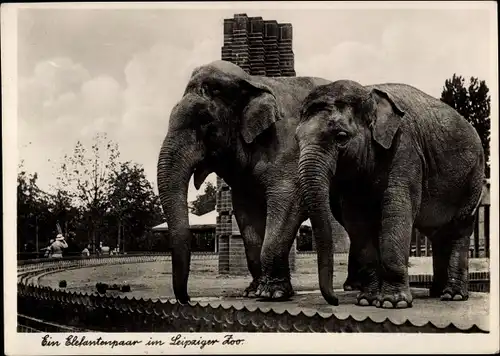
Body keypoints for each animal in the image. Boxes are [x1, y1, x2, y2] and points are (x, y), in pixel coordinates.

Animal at [158, 60, 346, 304]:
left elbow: (288, 201)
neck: (253, 81)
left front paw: (272, 294)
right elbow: (246, 217)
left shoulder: (288, 149)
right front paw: (253, 291)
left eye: (205, 121)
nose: (188, 299)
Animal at [296, 79, 484, 308]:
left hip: (473, 178)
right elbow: (356, 220)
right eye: (296, 139)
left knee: (459, 228)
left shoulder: (405, 148)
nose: (335, 300)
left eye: (341, 137)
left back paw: (453, 296)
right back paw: (436, 292)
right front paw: (367, 300)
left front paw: (392, 303)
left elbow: (396, 209)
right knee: (438, 233)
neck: (367, 92)